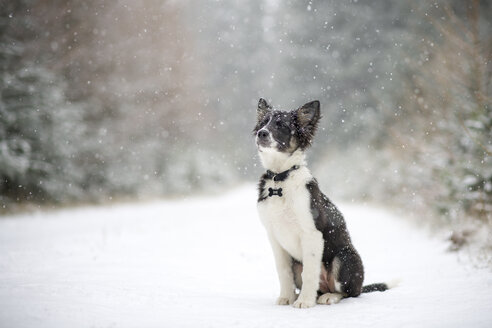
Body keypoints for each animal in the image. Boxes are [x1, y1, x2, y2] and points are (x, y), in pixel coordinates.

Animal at [256, 97, 390, 308]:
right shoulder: (274, 237)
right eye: (263, 123)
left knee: (349, 292)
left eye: (281, 125)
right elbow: (283, 271)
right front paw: (286, 297)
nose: (261, 133)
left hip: (344, 257)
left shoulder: (312, 234)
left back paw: (329, 297)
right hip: (298, 262)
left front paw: (304, 302)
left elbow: (310, 272)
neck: (281, 179)